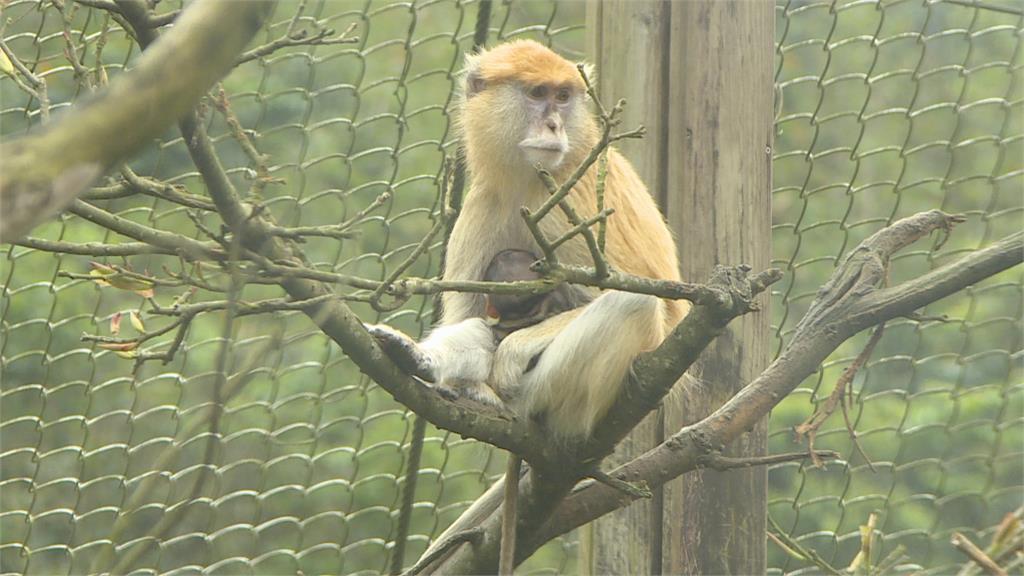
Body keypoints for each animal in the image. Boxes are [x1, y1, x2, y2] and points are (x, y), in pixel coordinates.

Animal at [368, 38, 688, 436]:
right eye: (538, 93)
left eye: (563, 96)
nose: (554, 124)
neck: (528, 180)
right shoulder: (486, 202)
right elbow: (474, 315)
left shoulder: (565, 206)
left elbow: (640, 297)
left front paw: (512, 351)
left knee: (635, 305)